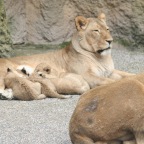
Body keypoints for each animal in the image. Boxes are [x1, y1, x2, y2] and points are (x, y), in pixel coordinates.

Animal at [0, 13, 133, 99]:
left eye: (107, 29)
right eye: (96, 31)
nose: (110, 41)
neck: (101, 57)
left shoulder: (110, 72)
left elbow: (127, 74)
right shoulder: (87, 76)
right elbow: (108, 81)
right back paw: (5, 95)